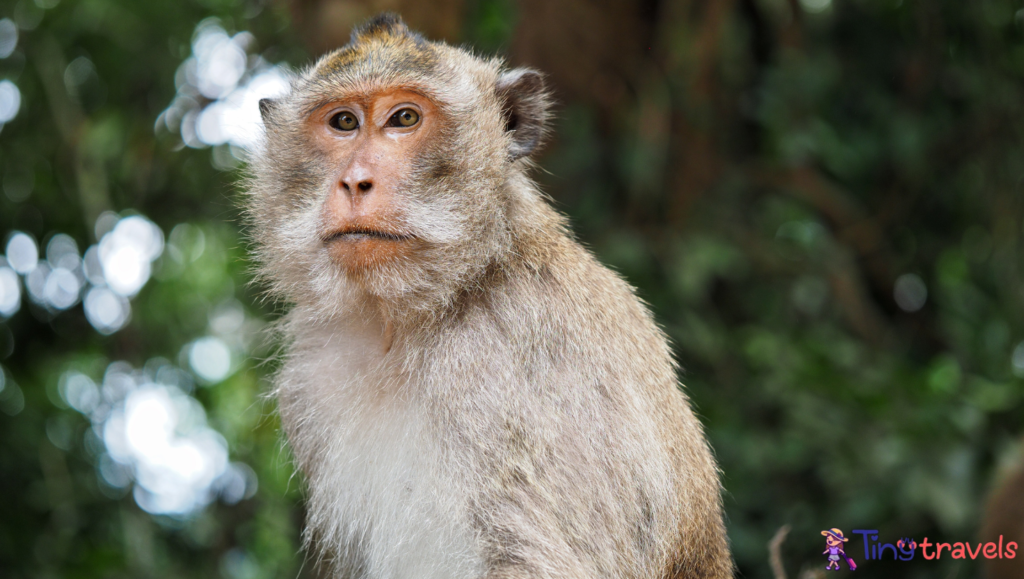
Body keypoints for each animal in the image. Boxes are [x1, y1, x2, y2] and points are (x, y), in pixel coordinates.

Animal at [244, 13, 733, 577]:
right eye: (343, 122)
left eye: (404, 118)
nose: (354, 181)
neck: (416, 317)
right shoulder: (311, 380)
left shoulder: (523, 361)